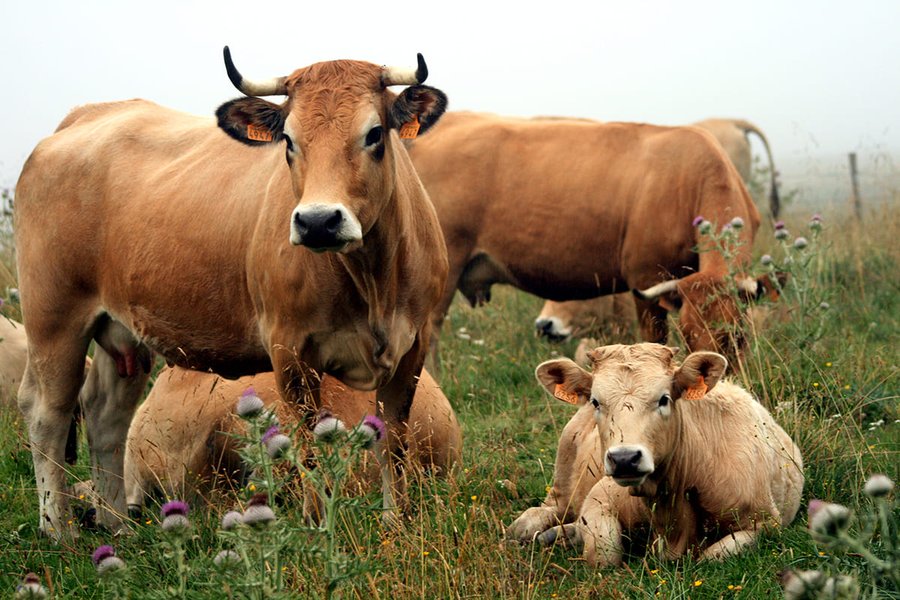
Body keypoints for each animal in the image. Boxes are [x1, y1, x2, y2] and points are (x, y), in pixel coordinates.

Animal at [510, 342, 804, 568]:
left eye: (664, 399)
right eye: (596, 401)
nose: (624, 458)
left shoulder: (766, 522)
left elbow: (711, 556)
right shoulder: (600, 496)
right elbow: (604, 553)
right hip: (563, 469)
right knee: (548, 509)